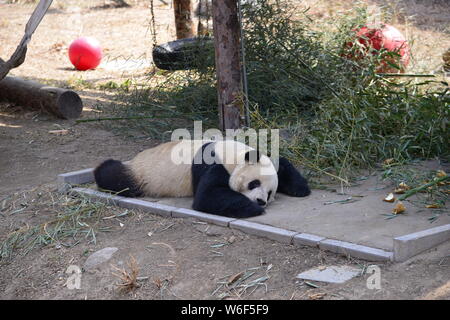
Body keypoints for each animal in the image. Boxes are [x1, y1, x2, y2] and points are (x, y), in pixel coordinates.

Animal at [93, 139, 312, 218]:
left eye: (270, 192)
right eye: (254, 183)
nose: (261, 201)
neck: (231, 153)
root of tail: (136, 158)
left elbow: (281, 162)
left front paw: (301, 188)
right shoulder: (212, 165)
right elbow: (208, 196)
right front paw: (254, 209)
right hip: (142, 174)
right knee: (114, 175)